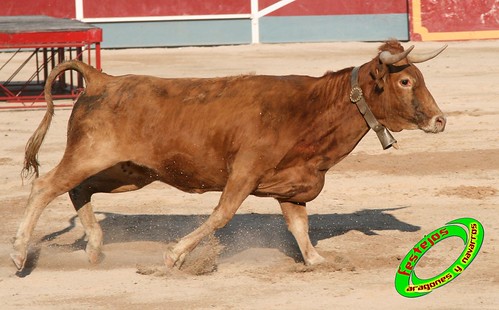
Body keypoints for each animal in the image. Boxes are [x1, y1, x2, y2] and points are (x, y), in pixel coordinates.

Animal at [11, 40, 448, 272]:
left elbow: (300, 227)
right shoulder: (244, 172)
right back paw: (18, 254)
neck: (310, 109)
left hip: (129, 172)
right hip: (91, 154)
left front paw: (318, 260)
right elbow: (221, 215)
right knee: (46, 185)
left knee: (78, 189)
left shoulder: (293, 185)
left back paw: (95, 248)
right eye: (405, 81)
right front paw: (174, 255)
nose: (441, 120)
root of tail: (102, 79)